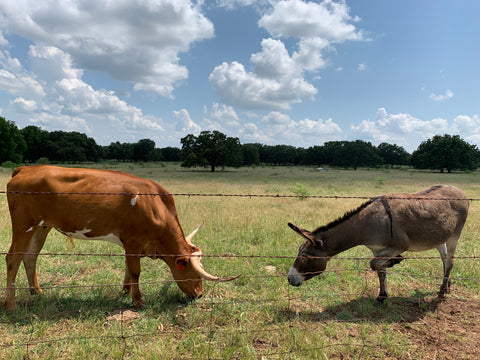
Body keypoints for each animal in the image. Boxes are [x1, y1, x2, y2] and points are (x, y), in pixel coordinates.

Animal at [3, 165, 236, 310]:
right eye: (193, 273)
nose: (199, 294)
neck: (155, 206)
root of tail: (27, 169)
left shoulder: (131, 244)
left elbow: (127, 268)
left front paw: (125, 291)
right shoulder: (132, 240)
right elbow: (135, 271)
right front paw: (138, 301)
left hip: (42, 226)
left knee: (30, 257)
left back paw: (37, 292)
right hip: (24, 225)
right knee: (13, 258)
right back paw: (11, 304)